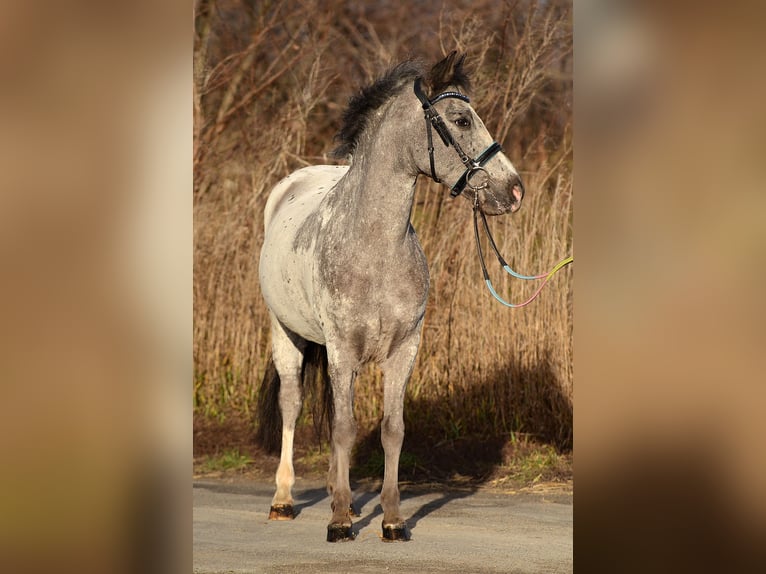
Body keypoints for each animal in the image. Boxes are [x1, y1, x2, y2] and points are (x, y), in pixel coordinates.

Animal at [255, 50, 524, 544]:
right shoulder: (342, 349)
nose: (513, 190)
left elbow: (391, 429)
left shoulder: (403, 350)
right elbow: (344, 428)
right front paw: (340, 523)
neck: (375, 244)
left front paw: (393, 519)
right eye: (461, 119)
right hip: (286, 335)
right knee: (293, 405)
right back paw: (283, 500)